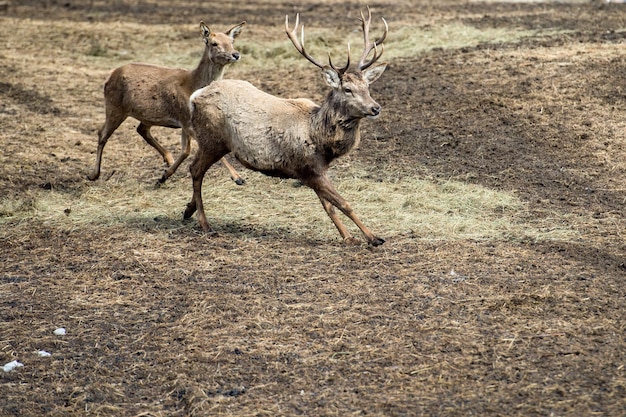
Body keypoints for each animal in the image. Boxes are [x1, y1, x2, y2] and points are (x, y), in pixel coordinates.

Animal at [88, 20, 244, 184]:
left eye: (232, 41)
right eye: (214, 43)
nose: (236, 54)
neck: (192, 84)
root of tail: (109, 77)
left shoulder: (185, 122)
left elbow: (185, 150)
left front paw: (164, 175)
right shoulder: (185, 119)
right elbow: (192, 149)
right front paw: (238, 178)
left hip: (145, 115)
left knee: (141, 129)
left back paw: (168, 159)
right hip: (114, 106)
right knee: (102, 133)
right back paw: (93, 174)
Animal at [183, 8, 386, 245]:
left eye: (367, 87)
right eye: (347, 89)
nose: (375, 108)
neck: (320, 139)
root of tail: (195, 96)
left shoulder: (314, 171)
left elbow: (329, 207)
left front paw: (348, 237)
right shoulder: (309, 167)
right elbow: (344, 203)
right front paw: (373, 237)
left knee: (194, 169)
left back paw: (188, 211)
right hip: (212, 140)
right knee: (196, 170)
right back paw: (204, 223)